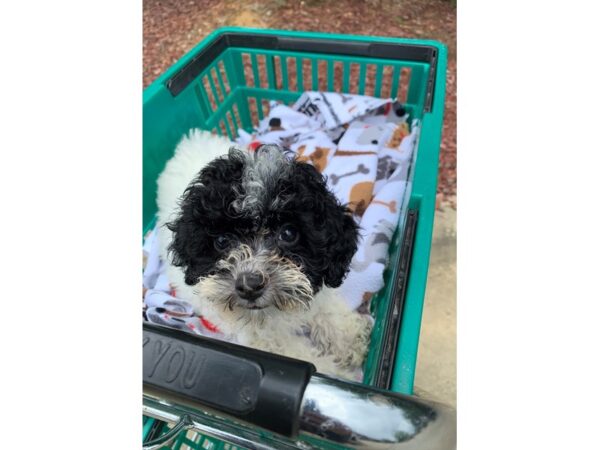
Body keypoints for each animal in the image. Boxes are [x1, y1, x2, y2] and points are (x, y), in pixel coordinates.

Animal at [158, 130, 376, 380]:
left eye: (288, 233)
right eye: (222, 241)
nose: (249, 285)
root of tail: (187, 143)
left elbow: (326, 307)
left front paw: (350, 341)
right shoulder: (264, 343)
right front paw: (340, 375)